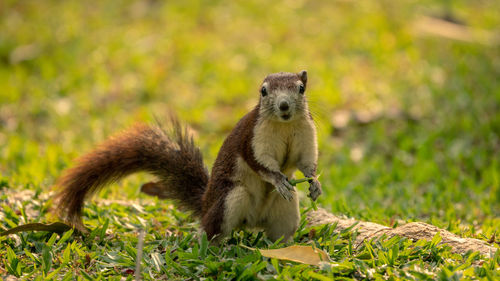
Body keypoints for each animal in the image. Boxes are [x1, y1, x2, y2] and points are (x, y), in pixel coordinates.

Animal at [53, 70, 320, 241]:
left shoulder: (306, 134)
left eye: (301, 88)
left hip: (285, 211)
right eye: (263, 91)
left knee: (279, 232)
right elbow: (259, 163)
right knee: (212, 230)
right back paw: (216, 249)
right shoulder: (252, 138)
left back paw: (283, 250)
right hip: (230, 199)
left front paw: (314, 183)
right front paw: (277, 179)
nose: (284, 106)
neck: (284, 125)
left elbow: (306, 162)